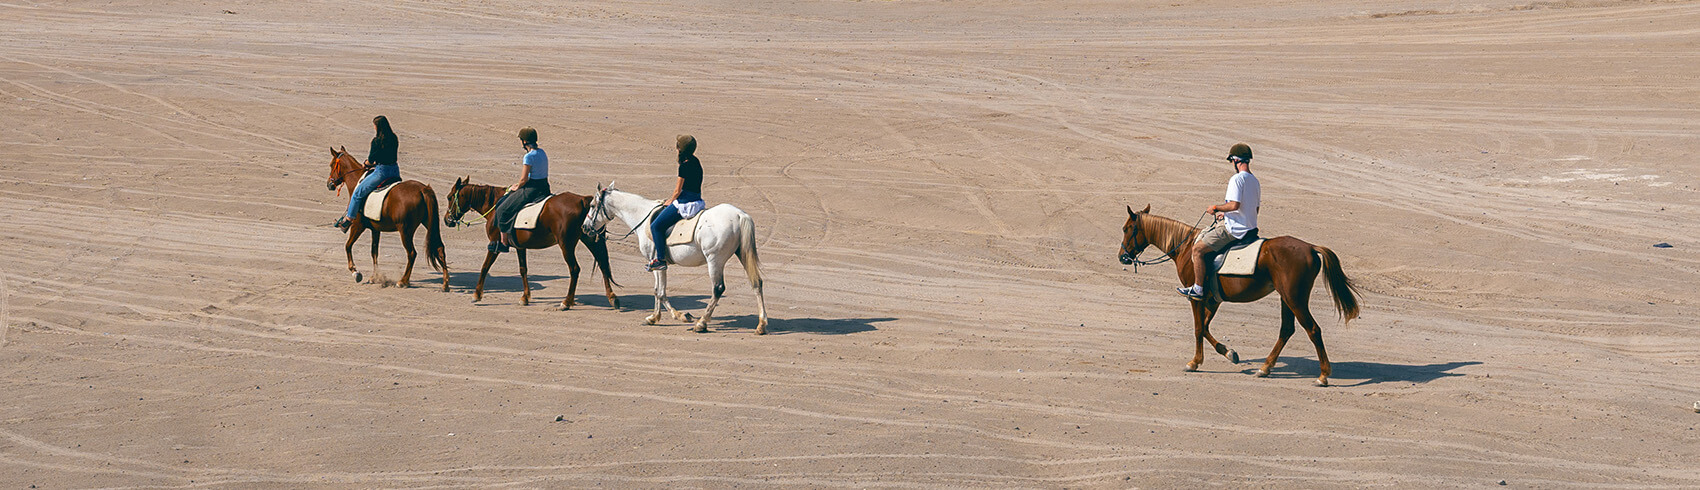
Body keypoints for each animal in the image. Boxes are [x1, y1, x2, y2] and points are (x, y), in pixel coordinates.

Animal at [325, 146, 449, 290]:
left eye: (331, 165)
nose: (329, 184)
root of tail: (422, 189)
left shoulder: (357, 226)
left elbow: (348, 246)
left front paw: (355, 272)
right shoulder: (375, 229)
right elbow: (374, 252)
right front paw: (375, 277)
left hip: (405, 230)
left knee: (412, 253)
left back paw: (403, 281)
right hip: (429, 224)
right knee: (440, 248)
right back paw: (445, 283)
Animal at [443, 178, 618, 310]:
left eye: (450, 197)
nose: (446, 220)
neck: (494, 205)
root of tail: (582, 200)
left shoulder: (494, 243)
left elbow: (485, 266)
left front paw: (477, 294)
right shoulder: (520, 246)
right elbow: (523, 270)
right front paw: (525, 297)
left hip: (566, 245)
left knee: (575, 269)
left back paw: (567, 302)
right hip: (590, 239)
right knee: (603, 264)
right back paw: (612, 298)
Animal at [583, 184, 768, 334]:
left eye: (592, 206)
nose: (584, 227)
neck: (642, 216)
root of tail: (739, 215)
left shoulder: (656, 263)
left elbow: (660, 292)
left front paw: (677, 315)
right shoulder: (661, 265)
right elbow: (658, 290)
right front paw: (656, 317)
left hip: (714, 260)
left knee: (718, 288)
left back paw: (701, 323)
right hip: (742, 254)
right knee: (756, 283)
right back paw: (761, 325)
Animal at [1117, 205, 1359, 386]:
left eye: (1127, 228)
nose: (1122, 257)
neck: (1187, 247)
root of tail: (1310, 247)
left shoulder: (1196, 296)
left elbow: (1198, 328)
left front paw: (1195, 362)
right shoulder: (1213, 299)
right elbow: (1205, 327)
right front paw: (1228, 353)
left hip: (1295, 299)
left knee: (1313, 330)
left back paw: (1323, 375)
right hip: (1286, 298)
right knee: (1286, 330)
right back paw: (1265, 367)